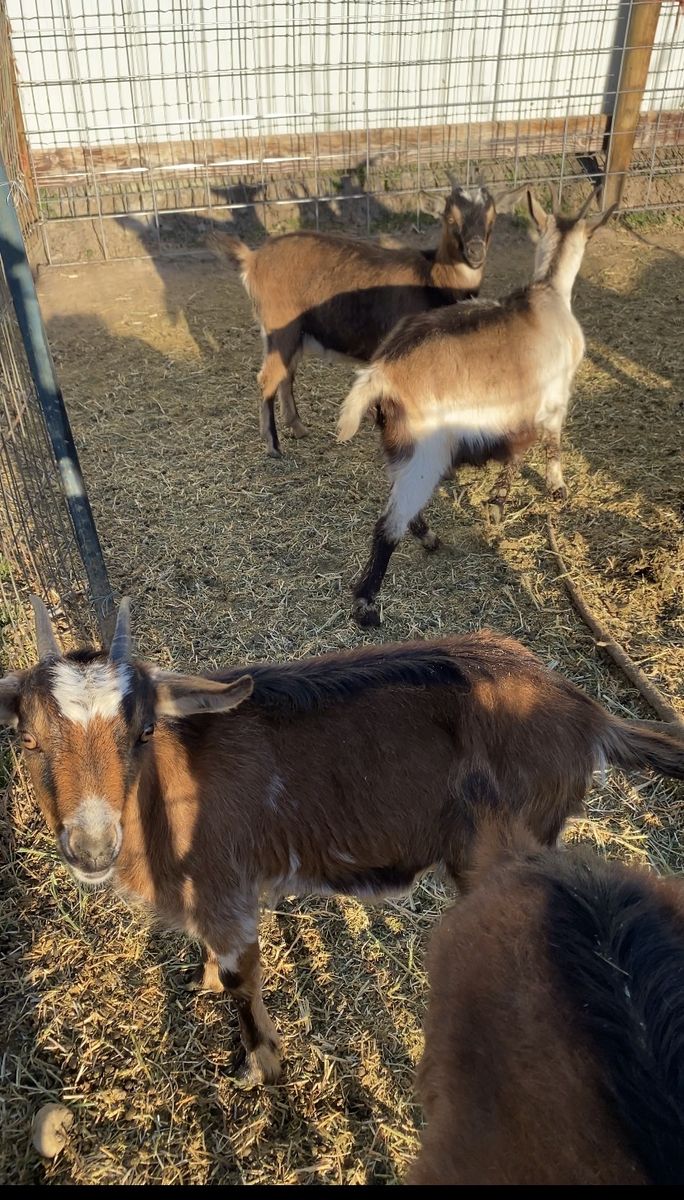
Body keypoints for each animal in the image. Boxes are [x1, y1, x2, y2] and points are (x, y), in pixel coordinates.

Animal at [2, 597, 682, 1084]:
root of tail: (591, 717)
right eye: (27, 738)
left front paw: (260, 1066)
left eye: (143, 731)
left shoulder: (227, 893)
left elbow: (244, 981)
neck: (164, 793)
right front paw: (203, 981)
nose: (92, 846)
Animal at [213, 185, 499, 456]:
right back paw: (273, 446)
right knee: (268, 378)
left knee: (286, 374)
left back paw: (298, 428)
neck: (433, 277)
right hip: (281, 327)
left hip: (292, 333)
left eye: (492, 218)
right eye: (451, 219)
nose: (475, 252)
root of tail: (253, 259)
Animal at [337, 189, 618, 627]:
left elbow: (517, 454)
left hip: (400, 448)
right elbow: (548, 445)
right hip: (425, 450)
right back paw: (366, 604)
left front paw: (497, 508)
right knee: (388, 525)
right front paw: (551, 489)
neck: (548, 292)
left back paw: (430, 538)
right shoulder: (554, 399)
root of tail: (380, 373)